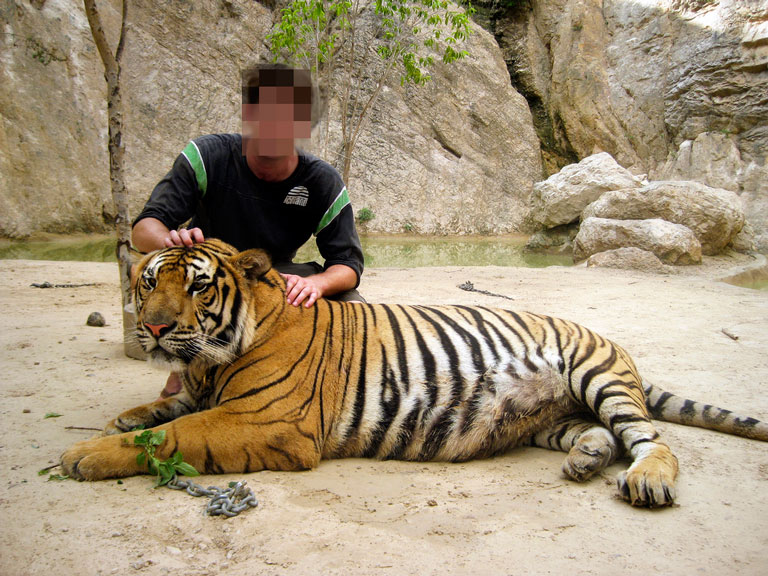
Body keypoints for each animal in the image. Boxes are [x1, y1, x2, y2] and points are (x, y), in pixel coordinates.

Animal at [61, 238, 768, 508]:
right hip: (546, 419)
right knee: (596, 435)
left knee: (650, 440)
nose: (153, 328)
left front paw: (84, 456)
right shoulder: (213, 395)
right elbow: (163, 414)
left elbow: (174, 435)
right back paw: (586, 460)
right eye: (149, 282)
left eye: (198, 287)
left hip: (599, 376)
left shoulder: (265, 420)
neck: (212, 364)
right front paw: (126, 416)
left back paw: (646, 479)